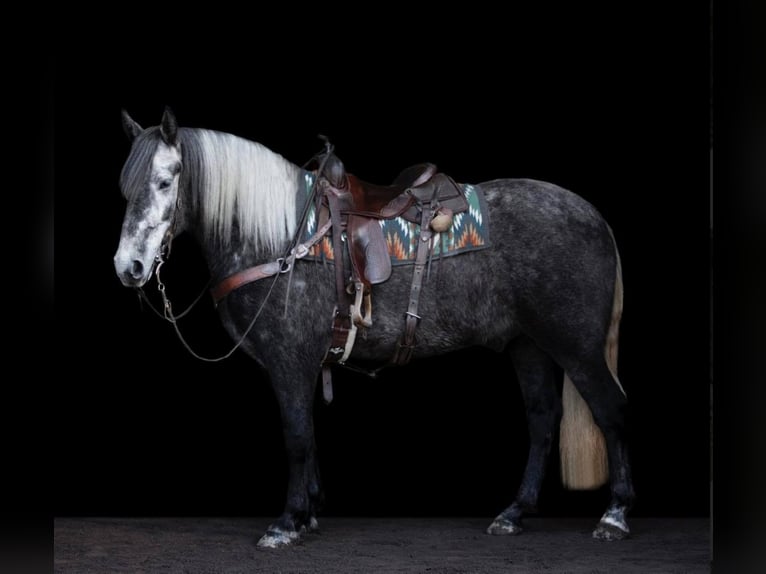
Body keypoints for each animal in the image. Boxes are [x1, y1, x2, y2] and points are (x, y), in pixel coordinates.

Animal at [112, 107, 636, 548]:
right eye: (125, 187)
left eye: (165, 181)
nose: (128, 267)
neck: (282, 238)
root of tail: (592, 215)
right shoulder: (306, 365)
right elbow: (309, 437)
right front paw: (308, 515)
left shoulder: (289, 361)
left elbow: (296, 437)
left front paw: (287, 523)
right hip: (527, 344)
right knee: (544, 419)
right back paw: (514, 513)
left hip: (576, 346)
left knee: (610, 411)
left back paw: (614, 515)